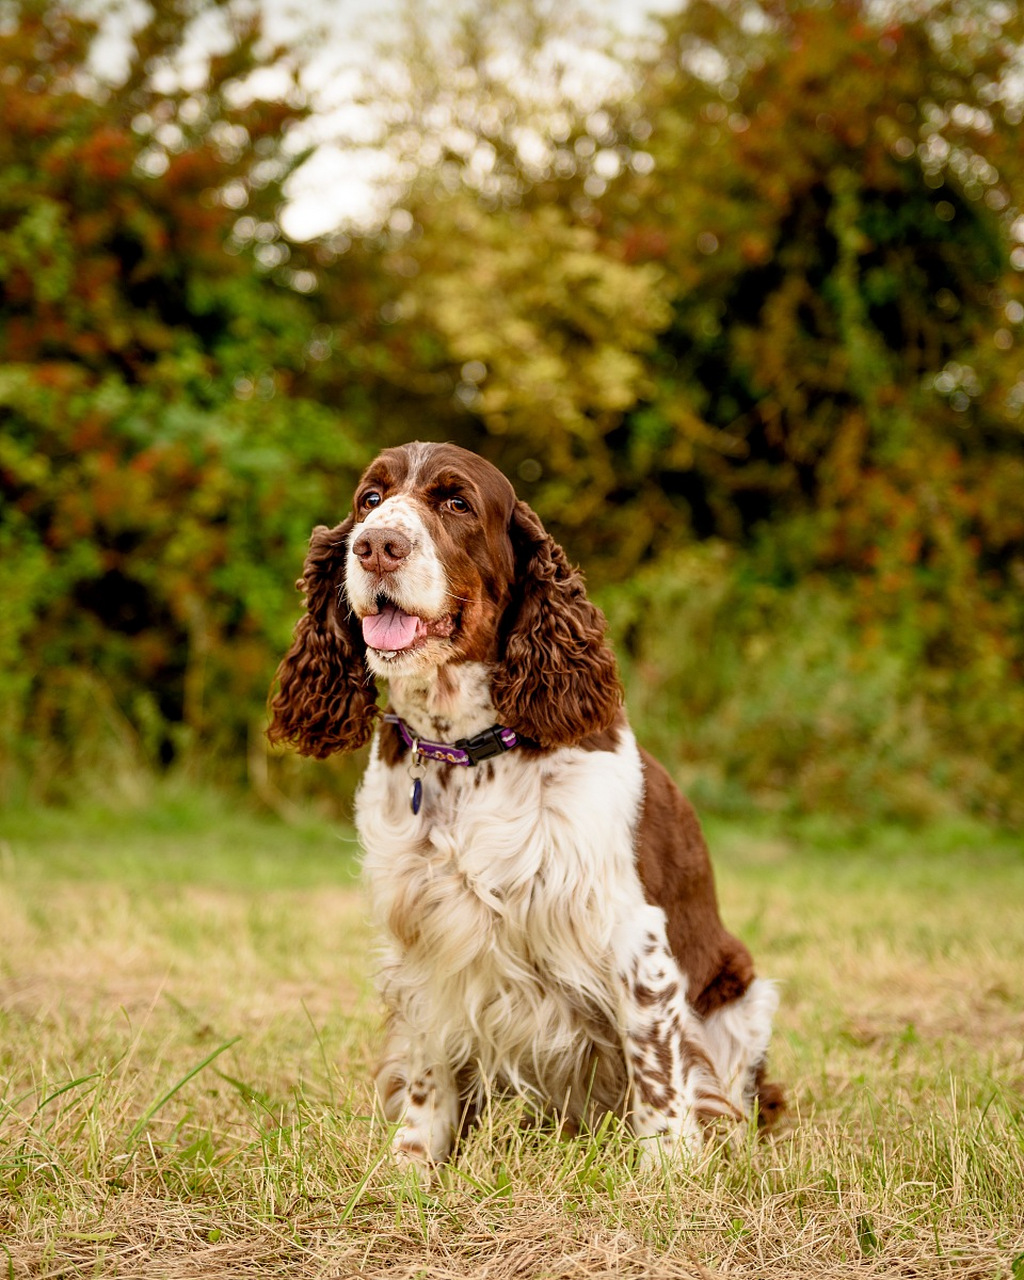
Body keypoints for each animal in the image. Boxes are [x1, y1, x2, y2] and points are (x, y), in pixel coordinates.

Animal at [266, 440, 783, 1172]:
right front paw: (412, 1163)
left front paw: (670, 1172)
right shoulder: (421, 932)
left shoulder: (634, 933)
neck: (464, 752)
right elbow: (426, 1063)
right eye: (370, 499)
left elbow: (658, 1064)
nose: (376, 546)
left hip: (747, 995)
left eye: (457, 503)